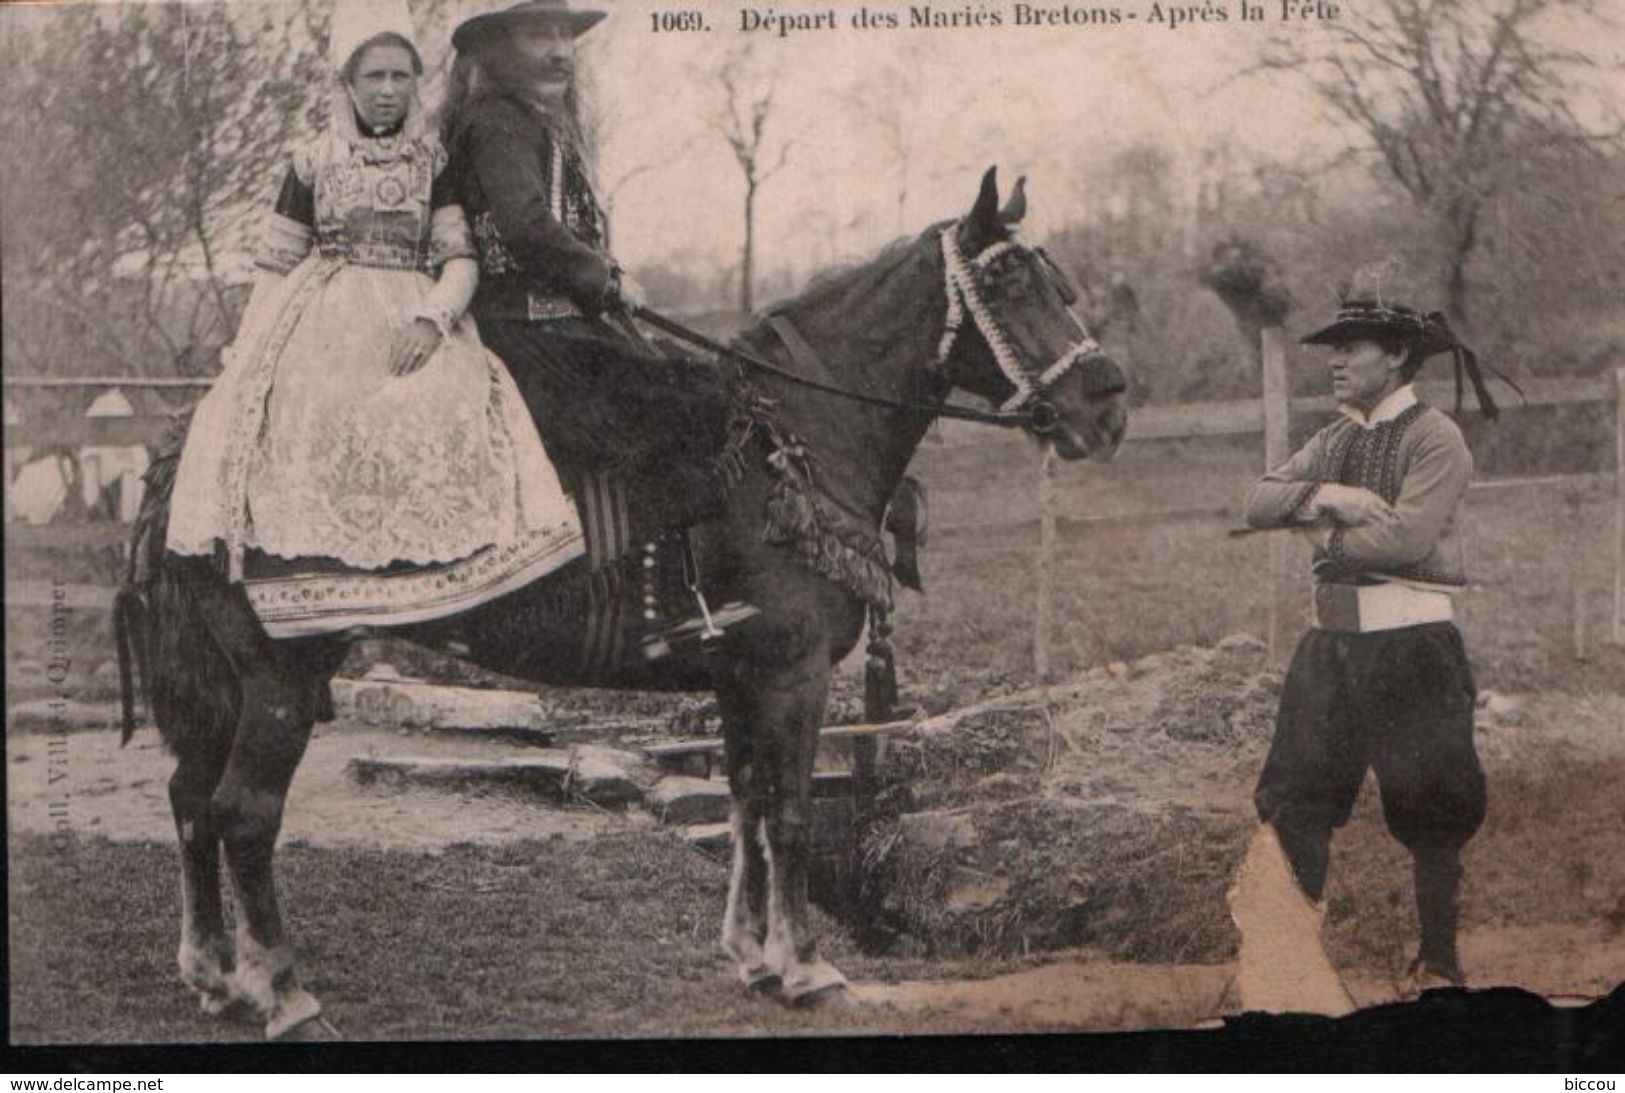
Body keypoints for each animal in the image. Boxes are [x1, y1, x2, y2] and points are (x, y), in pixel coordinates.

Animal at [117, 168, 1131, 1032]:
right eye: (1009, 282)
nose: (1107, 406)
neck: (790, 441)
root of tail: (189, 454)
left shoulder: (739, 675)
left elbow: (746, 799)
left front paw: (752, 956)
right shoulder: (793, 670)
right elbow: (793, 811)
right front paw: (807, 965)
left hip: (224, 684)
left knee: (190, 798)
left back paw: (216, 974)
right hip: (279, 678)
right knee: (243, 811)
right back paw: (282, 990)